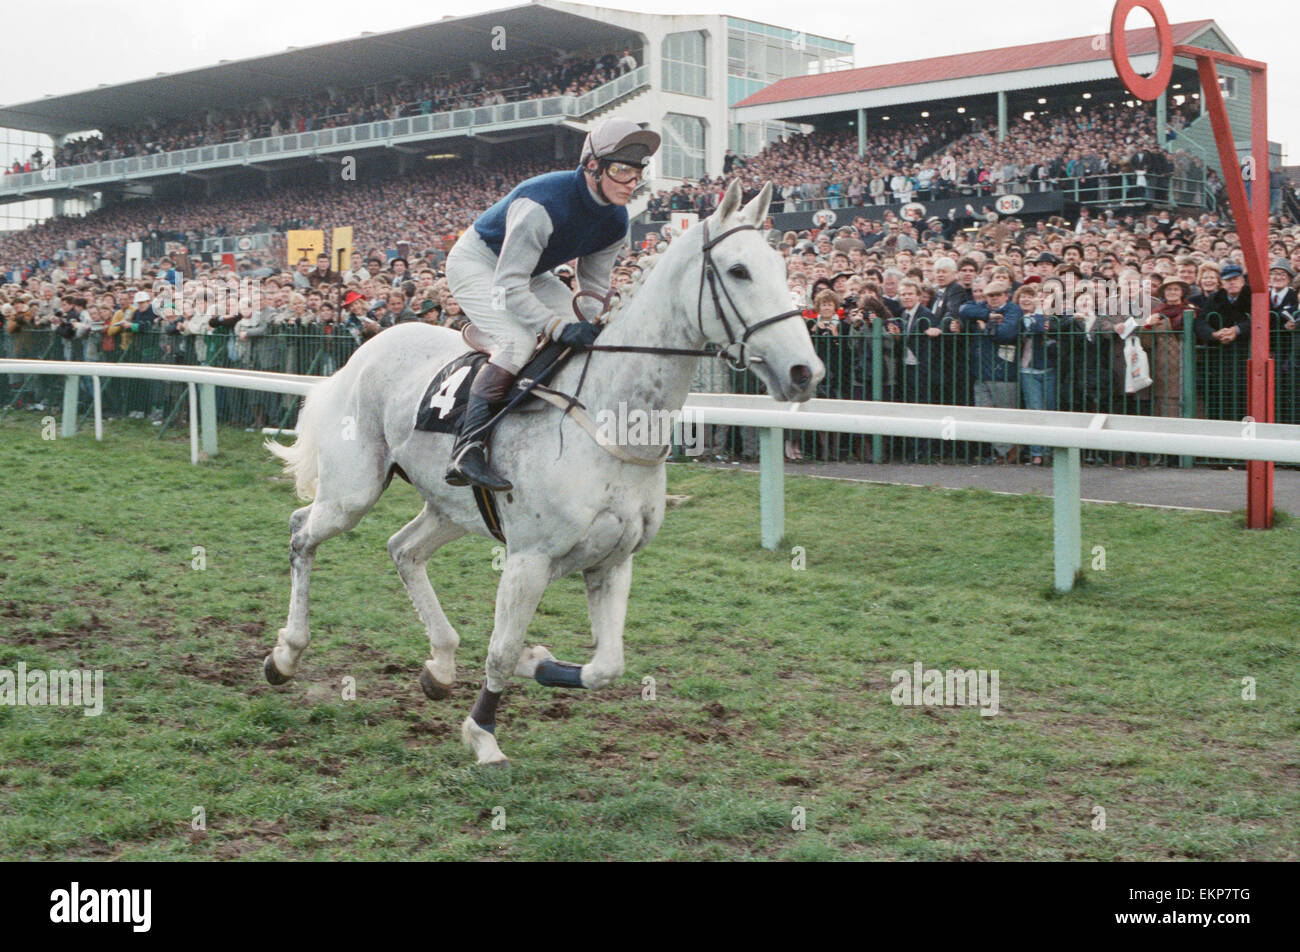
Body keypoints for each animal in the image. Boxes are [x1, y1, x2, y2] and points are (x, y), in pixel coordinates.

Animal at [263, 182, 821, 764]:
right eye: (738, 270)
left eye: (782, 267)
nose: (805, 372)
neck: (609, 419)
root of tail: (358, 355)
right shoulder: (528, 559)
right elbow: (502, 651)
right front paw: (483, 734)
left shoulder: (612, 561)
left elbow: (606, 667)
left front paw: (538, 663)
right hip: (354, 491)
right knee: (302, 531)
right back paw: (286, 654)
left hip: (449, 507)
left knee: (403, 550)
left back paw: (440, 663)